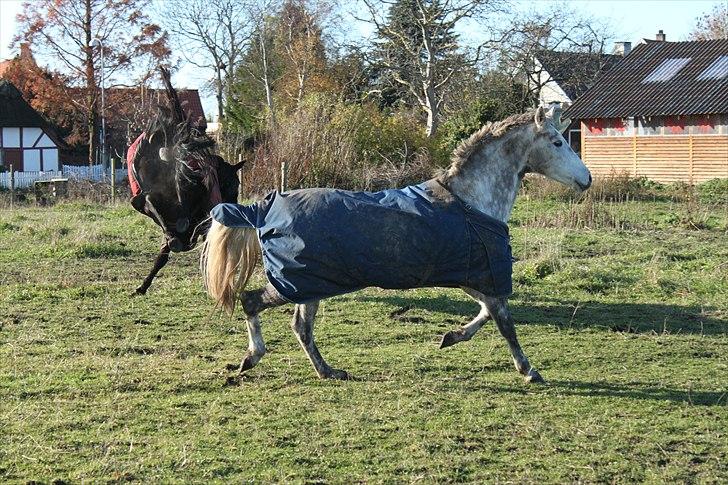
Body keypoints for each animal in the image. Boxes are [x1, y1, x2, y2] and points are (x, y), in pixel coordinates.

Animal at [128, 68, 245, 294]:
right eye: (233, 185)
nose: (233, 207)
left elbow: (163, 255)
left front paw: (143, 286)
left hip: (146, 198)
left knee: (147, 201)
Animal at [199, 108, 592, 384]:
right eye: (557, 142)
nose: (587, 179)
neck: (471, 201)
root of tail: (266, 206)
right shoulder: (486, 277)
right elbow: (505, 323)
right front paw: (529, 370)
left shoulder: (470, 275)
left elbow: (485, 313)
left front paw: (450, 337)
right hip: (295, 281)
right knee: (252, 302)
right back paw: (252, 358)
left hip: (310, 285)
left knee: (301, 328)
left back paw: (328, 371)